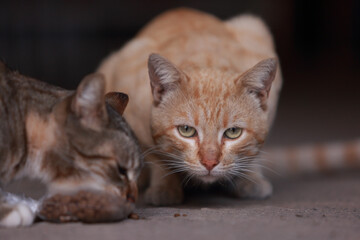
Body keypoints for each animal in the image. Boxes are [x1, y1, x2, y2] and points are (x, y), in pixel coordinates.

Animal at [97, 8, 282, 205]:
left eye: (233, 132)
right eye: (186, 130)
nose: (209, 163)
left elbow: (255, 152)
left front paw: (252, 179)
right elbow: (156, 156)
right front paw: (165, 188)